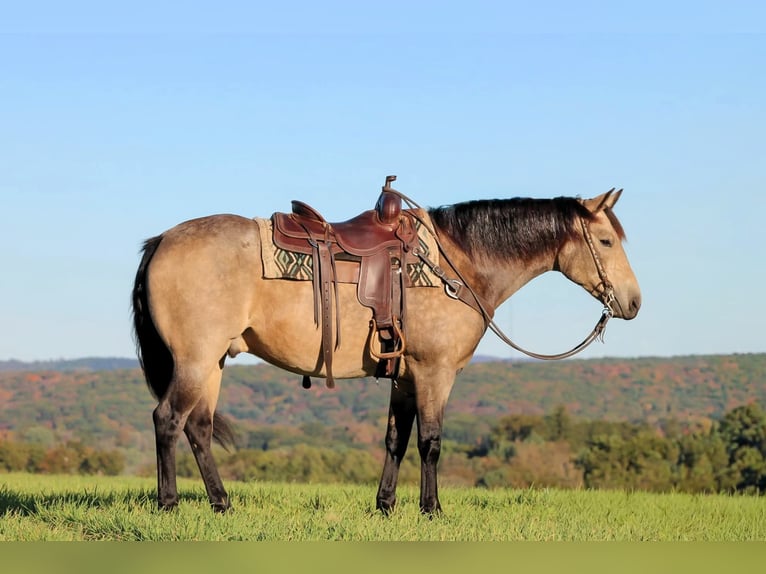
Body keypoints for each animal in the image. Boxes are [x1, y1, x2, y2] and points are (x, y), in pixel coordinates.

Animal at [131, 186, 641, 514]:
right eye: (605, 241)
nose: (633, 302)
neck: (458, 263)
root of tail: (162, 240)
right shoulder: (435, 373)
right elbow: (430, 442)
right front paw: (432, 510)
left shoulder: (406, 376)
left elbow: (396, 440)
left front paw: (386, 505)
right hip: (195, 361)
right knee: (168, 420)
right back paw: (169, 504)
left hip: (212, 362)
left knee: (198, 427)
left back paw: (221, 503)